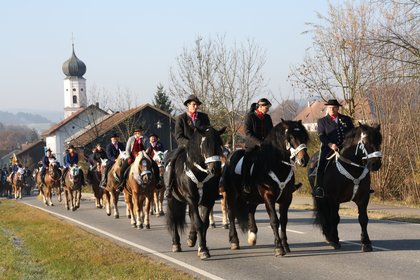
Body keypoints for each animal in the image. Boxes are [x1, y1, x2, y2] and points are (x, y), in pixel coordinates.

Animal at [167, 126, 228, 260]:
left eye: (219, 144)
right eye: (204, 145)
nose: (215, 169)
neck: (200, 172)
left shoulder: (207, 200)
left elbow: (204, 224)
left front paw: (202, 247)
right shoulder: (192, 198)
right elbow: (199, 223)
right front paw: (203, 250)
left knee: (191, 216)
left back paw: (191, 238)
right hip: (172, 199)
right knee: (174, 218)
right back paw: (176, 243)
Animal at [225, 119, 310, 258]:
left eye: (303, 136)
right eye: (291, 137)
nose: (304, 159)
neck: (276, 165)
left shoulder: (286, 198)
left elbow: (284, 221)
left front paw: (285, 245)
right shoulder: (268, 197)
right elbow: (274, 221)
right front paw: (279, 248)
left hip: (253, 198)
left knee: (250, 210)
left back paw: (252, 236)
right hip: (232, 195)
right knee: (231, 214)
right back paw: (234, 241)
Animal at [308, 122, 384, 252]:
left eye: (379, 141)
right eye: (365, 142)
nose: (375, 164)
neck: (352, 167)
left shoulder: (363, 198)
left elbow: (363, 219)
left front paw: (366, 242)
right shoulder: (333, 198)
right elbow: (335, 218)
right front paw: (335, 240)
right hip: (321, 198)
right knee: (325, 215)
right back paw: (329, 237)